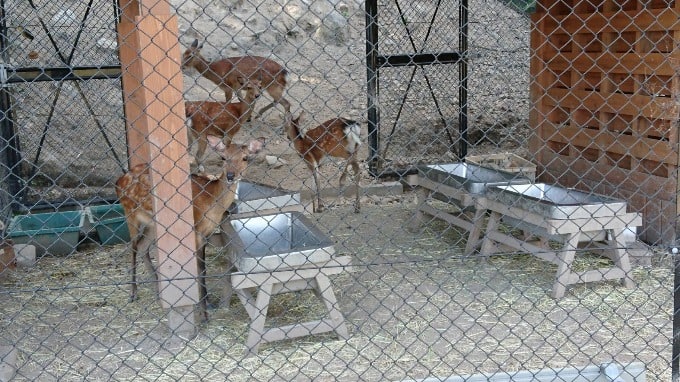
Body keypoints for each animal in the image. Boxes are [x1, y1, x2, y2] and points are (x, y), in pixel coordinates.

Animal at [114, 136, 266, 320]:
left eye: (245, 158)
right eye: (223, 158)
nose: (231, 175)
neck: (211, 202)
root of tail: (118, 181)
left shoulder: (207, 233)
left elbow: (202, 269)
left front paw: (207, 303)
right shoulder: (195, 230)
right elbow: (200, 269)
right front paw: (203, 313)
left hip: (153, 223)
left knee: (143, 247)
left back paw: (159, 294)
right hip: (130, 212)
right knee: (133, 247)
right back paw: (133, 293)